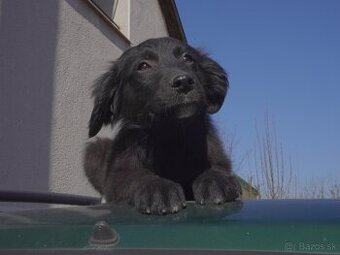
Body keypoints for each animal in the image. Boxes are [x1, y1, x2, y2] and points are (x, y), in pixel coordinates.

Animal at [83, 36, 240, 214]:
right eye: (143, 66)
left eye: (188, 58)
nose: (184, 82)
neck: (171, 133)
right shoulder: (117, 176)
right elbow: (136, 176)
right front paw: (156, 188)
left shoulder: (219, 157)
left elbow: (217, 168)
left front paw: (216, 179)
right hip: (94, 150)